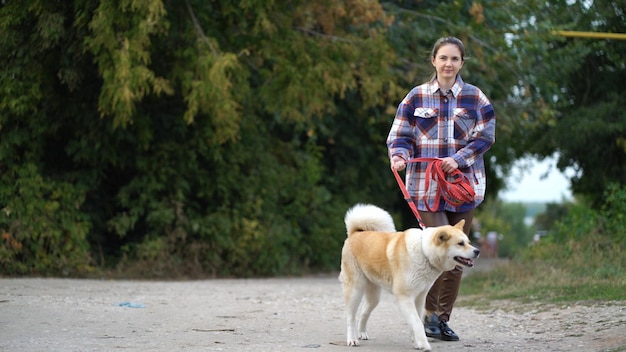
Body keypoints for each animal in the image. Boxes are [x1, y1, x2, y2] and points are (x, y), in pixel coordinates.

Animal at [336, 204, 478, 350]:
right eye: (460, 243)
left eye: (468, 242)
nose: (477, 251)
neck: (424, 252)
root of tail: (355, 233)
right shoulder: (404, 298)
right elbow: (417, 322)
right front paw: (424, 344)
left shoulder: (419, 298)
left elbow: (415, 322)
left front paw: (417, 343)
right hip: (355, 290)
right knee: (351, 318)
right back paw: (352, 339)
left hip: (374, 297)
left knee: (364, 312)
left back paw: (362, 333)